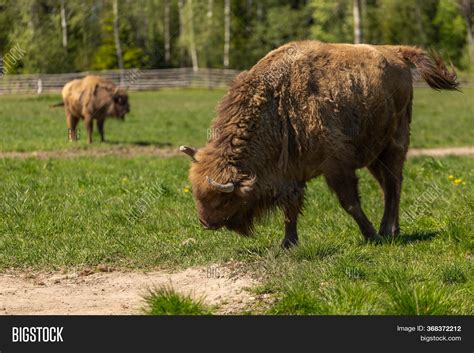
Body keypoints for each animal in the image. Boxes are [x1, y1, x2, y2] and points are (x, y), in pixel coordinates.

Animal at [180, 40, 458, 248]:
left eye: (222, 201)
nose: (205, 223)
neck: (278, 103)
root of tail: (397, 52)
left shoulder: (337, 166)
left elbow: (350, 203)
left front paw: (370, 236)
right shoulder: (290, 174)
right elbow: (290, 209)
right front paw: (288, 243)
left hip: (394, 144)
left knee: (392, 184)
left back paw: (385, 231)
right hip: (374, 155)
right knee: (388, 186)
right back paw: (393, 230)